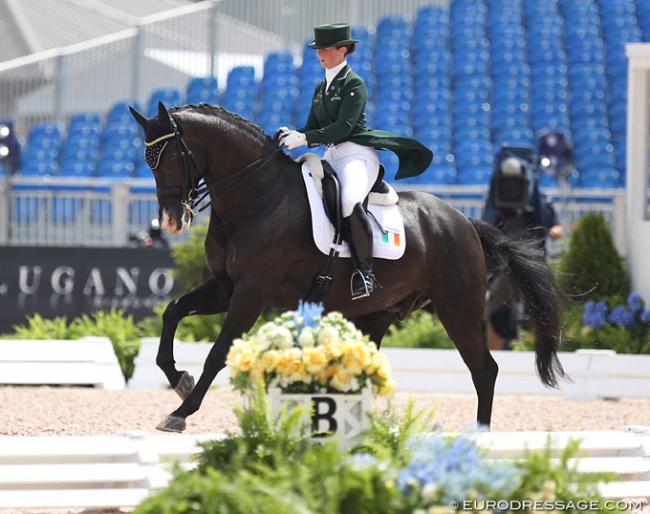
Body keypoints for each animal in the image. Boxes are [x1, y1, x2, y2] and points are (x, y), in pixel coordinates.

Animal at [129, 102, 564, 430]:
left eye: (171, 157)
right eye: (149, 162)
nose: (171, 221)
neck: (257, 195)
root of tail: (464, 222)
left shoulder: (251, 293)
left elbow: (218, 352)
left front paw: (181, 411)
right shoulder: (225, 287)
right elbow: (172, 312)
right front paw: (179, 380)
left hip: (456, 309)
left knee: (484, 370)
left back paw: (479, 437)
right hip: (378, 314)